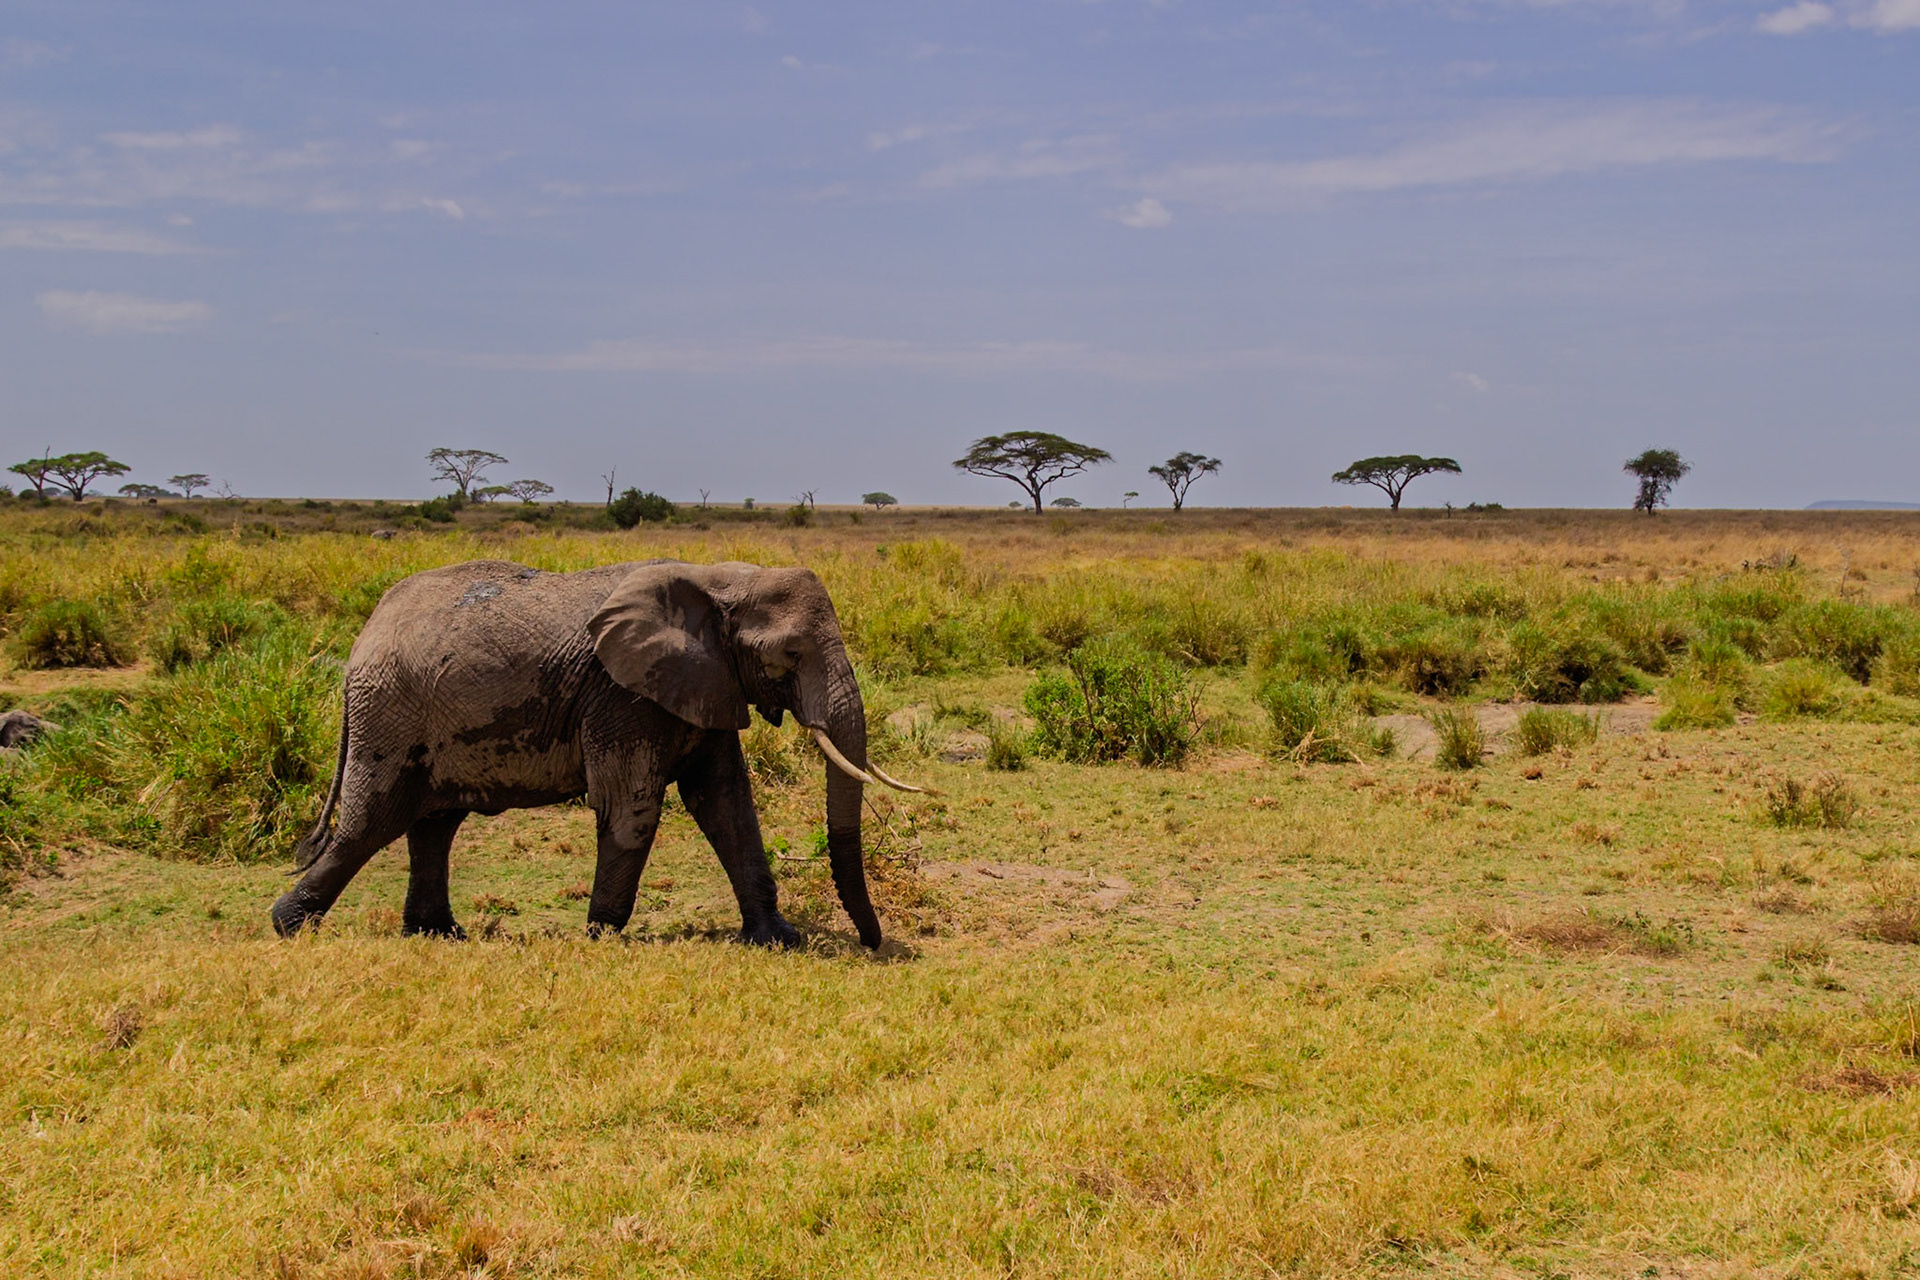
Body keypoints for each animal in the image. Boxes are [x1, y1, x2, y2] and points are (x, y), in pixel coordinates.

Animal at [270, 559, 925, 948]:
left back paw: (439, 935)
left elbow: (727, 806)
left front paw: (778, 939)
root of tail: (364, 637)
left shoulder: (703, 683)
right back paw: (289, 927)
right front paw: (602, 935)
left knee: (434, 823)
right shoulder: (621, 692)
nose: (872, 944)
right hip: (390, 711)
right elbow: (633, 807)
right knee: (371, 822)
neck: (718, 579)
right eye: (789, 655)